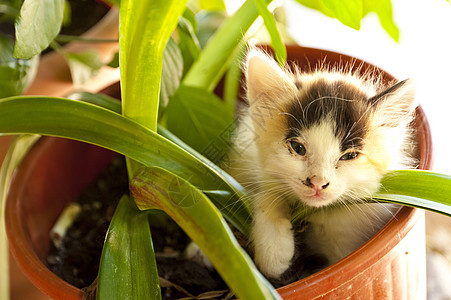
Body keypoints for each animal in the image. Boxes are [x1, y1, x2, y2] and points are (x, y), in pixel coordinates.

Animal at [228, 48, 418, 278]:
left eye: (349, 156)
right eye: (298, 148)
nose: (317, 183)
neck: (316, 213)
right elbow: (268, 192)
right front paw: (273, 251)